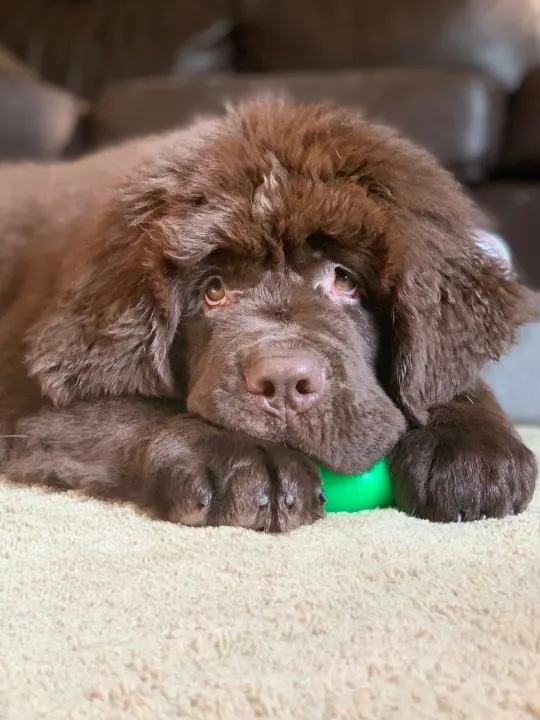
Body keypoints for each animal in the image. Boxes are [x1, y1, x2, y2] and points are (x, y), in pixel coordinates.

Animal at [0, 98, 536, 532]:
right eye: (213, 290)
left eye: (345, 281)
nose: (283, 382)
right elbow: (123, 410)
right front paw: (243, 460)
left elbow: (443, 376)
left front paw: (473, 446)